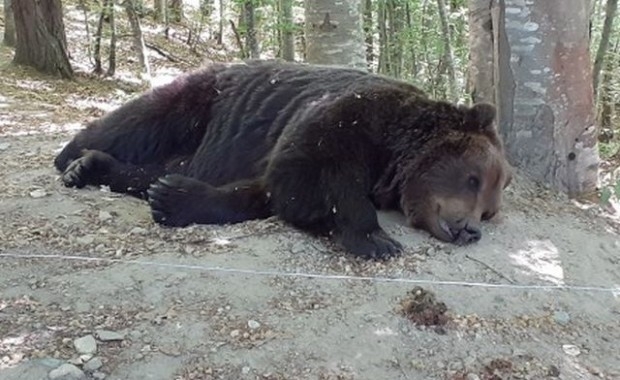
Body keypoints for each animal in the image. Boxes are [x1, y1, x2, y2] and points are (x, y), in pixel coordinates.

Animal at [54, 60, 508, 262]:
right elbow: (308, 172)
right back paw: (72, 157)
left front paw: (172, 198)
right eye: (472, 178)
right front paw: (377, 239)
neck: (391, 158)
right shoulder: (352, 117)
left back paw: (98, 168)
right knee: (138, 120)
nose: (470, 229)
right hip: (199, 102)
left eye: (488, 211)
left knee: (154, 167)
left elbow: (269, 191)